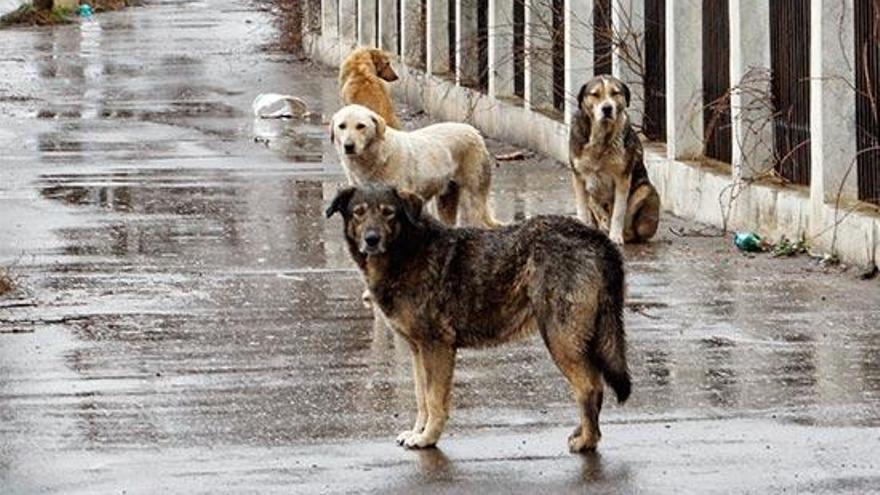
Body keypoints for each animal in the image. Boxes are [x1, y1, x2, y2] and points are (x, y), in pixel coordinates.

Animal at [326, 185, 628, 454]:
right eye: (358, 213)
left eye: (388, 213)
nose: (371, 239)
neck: (407, 251)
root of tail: (596, 238)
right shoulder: (418, 350)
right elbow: (421, 397)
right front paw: (417, 432)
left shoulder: (437, 347)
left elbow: (434, 400)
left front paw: (428, 438)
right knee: (594, 387)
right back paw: (585, 433)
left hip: (560, 339)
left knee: (589, 387)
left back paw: (587, 441)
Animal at [330, 105, 498, 230]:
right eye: (341, 126)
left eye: (361, 126)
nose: (348, 146)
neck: (375, 158)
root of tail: (473, 130)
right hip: (446, 200)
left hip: (473, 198)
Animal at [572, 75, 660, 244]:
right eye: (595, 94)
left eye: (615, 93)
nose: (607, 108)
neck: (602, 140)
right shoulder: (578, 176)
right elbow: (583, 208)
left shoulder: (622, 179)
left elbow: (618, 212)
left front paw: (615, 236)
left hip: (644, 190)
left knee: (633, 229)